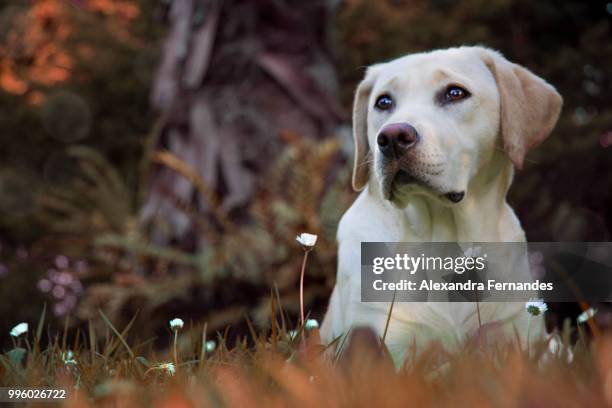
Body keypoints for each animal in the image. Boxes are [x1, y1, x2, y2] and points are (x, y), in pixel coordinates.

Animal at [320, 46, 564, 364]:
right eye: (383, 102)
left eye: (455, 93)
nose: (392, 137)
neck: (443, 239)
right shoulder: (383, 337)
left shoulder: (518, 338)